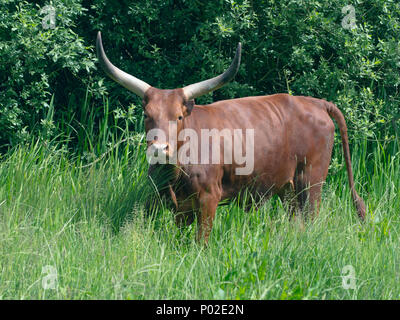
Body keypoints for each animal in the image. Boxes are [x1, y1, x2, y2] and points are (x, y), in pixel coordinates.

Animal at [96, 31, 366, 244]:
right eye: (146, 114)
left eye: (179, 116)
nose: (159, 149)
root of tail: (316, 102)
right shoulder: (169, 203)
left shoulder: (208, 198)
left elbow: (201, 241)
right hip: (289, 188)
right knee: (295, 220)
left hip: (311, 181)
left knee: (310, 218)